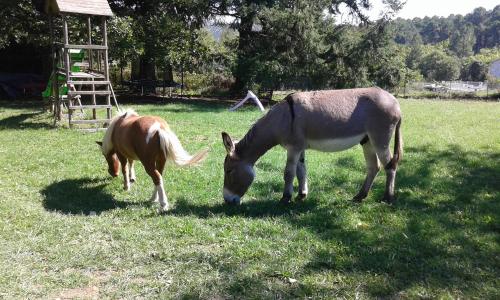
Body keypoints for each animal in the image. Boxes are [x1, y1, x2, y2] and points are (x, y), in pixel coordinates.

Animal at [223, 86, 402, 204]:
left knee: (390, 165)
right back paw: (360, 196)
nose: (227, 200)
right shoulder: (299, 148)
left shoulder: (293, 148)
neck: (282, 119)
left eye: (229, 171)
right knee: (374, 167)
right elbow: (301, 171)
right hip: (367, 140)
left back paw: (387, 198)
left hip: (380, 138)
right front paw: (301, 195)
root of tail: (394, 101)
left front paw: (285, 198)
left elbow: (289, 173)